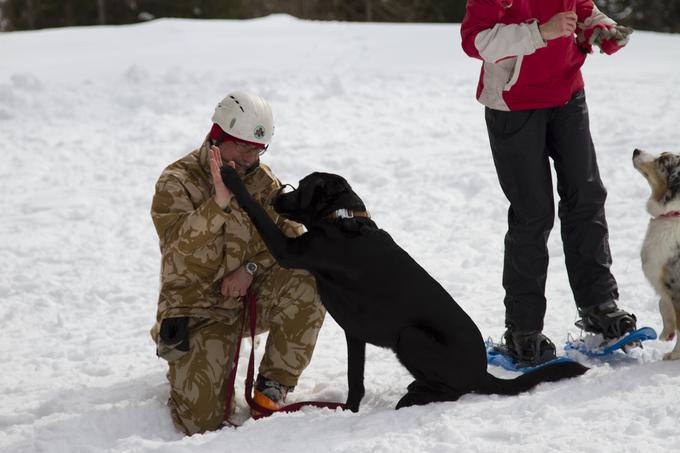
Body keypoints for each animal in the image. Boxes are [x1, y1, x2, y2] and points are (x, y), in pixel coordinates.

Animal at [220, 169, 588, 410]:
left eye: (300, 188)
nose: (276, 196)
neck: (342, 219)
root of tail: (483, 373)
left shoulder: (292, 250)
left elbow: (256, 213)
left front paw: (230, 177)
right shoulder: (355, 334)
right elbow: (356, 379)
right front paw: (349, 409)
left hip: (411, 336)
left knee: (453, 391)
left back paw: (415, 397)